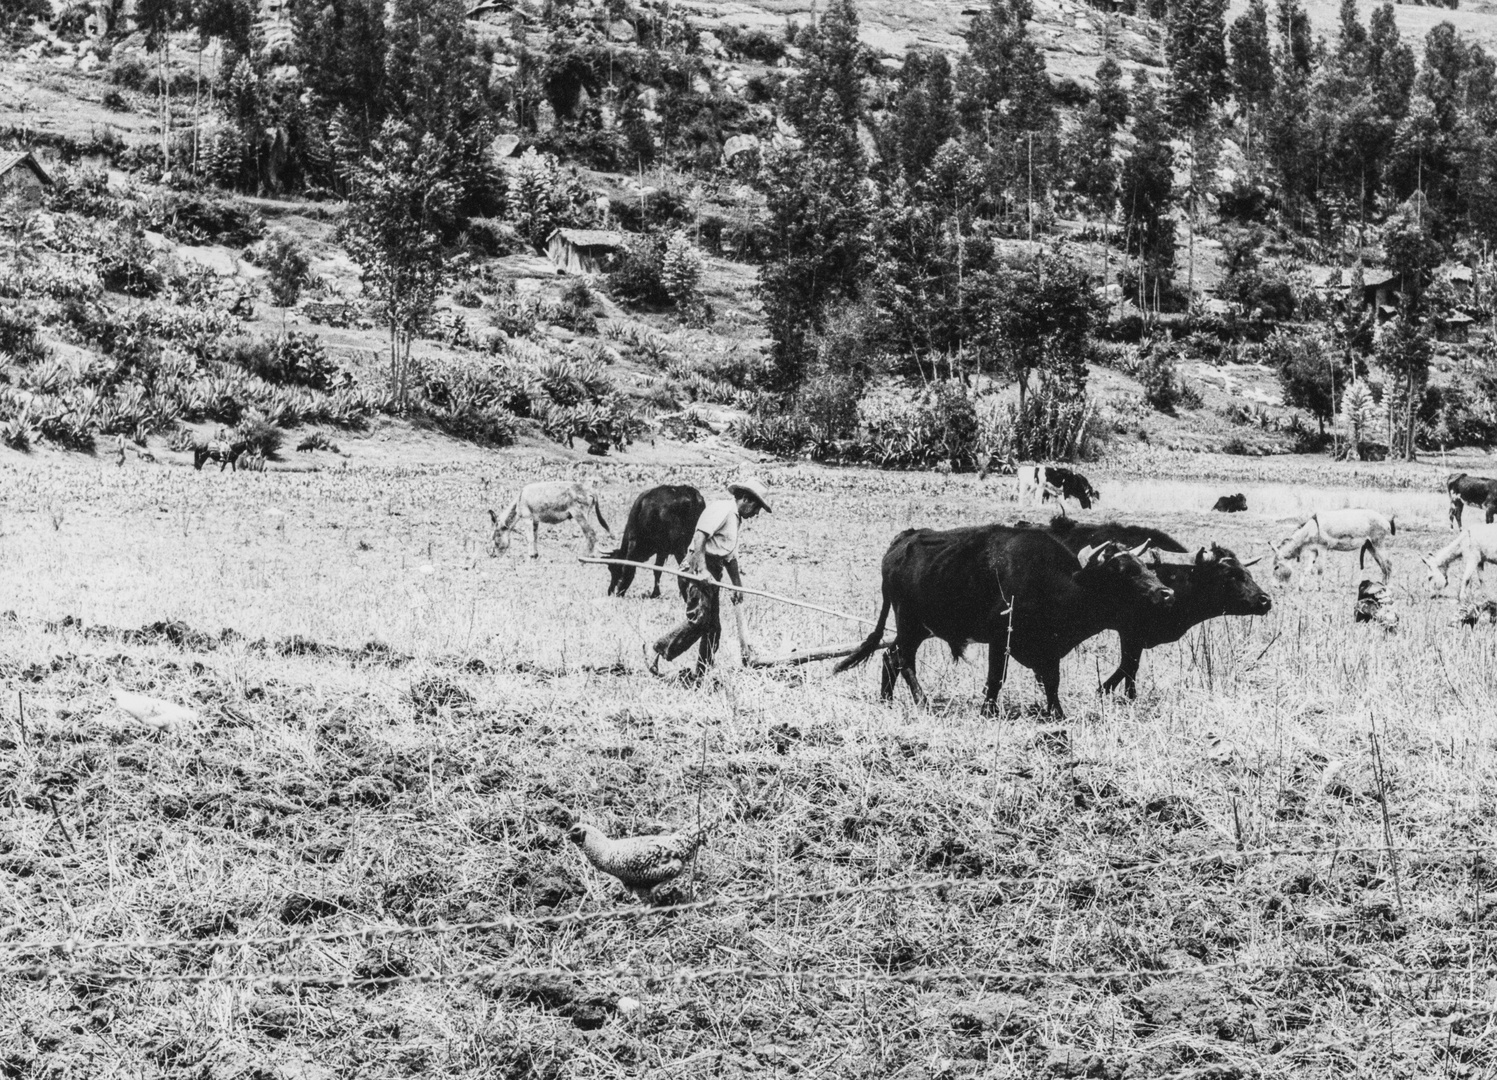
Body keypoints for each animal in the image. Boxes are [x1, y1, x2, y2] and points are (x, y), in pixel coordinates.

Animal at [838, 524, 1173, 716]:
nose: (1166, 593)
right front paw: (988, 711)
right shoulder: (1000, 639)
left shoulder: (1048, 649)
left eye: (1145, 565)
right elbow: (996, 679)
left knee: (889, 656)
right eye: (1122, 571)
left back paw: (886, 700)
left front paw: (1057, 713)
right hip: (908, 621)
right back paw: (922, 702)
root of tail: (902, 541)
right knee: (902, 659)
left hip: (918, 627)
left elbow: (1052, 681)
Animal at [1041, 515, 1275, 698]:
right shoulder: (1130, 633)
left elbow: (1129, 667)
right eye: (1229, 574)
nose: (1265, 600)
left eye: (1247, 572)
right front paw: (1113, 693)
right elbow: (1129, 666)